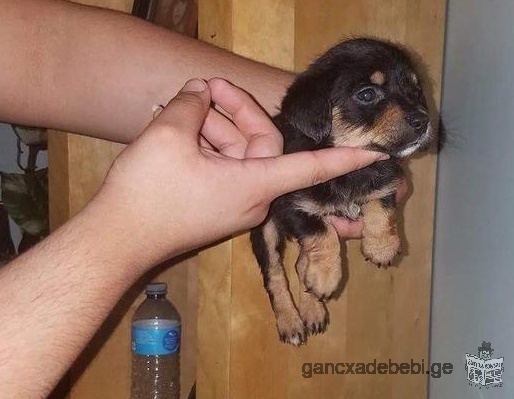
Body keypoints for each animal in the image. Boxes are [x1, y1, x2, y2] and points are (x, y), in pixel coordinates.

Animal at [250, 39, 430, 348]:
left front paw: (382, 248)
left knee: (299, 264)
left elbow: (381, 209)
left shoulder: (386, 180)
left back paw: (312, 308)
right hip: (265, 230)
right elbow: (323, 236)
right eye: (367, 94)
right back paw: (291, 321)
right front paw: (325, 277)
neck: (351, 173)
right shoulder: (295, 206)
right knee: (275, 274)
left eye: (416, 91)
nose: (424, 120)